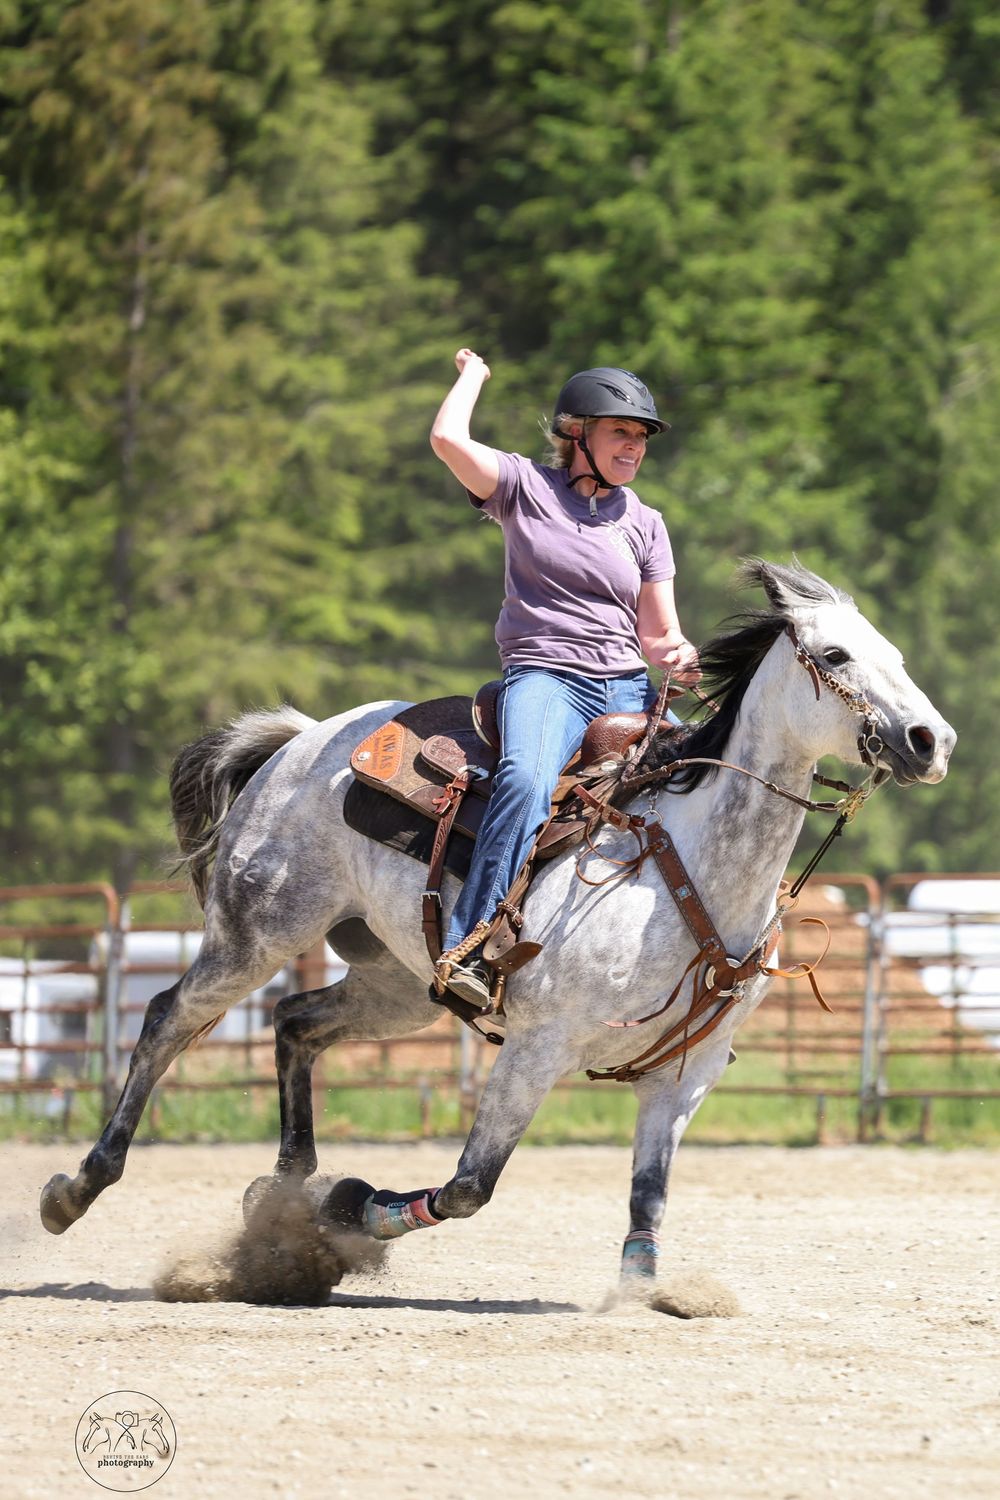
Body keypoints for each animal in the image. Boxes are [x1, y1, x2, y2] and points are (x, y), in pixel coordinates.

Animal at [40, 560, 955, 1284]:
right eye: (835, 656)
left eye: (899, 657)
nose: (928, 739)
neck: (689, 868)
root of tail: (303, 740)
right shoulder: (537, 1046)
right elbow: (469, 1185)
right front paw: (355, 1210)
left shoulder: (687, 1068)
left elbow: (648, 1195)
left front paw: (648, 1296)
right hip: (255, 934)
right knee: (167, 1019)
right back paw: (76, 1191)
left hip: (394, 984)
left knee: (296, 1023)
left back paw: (284, 1188)